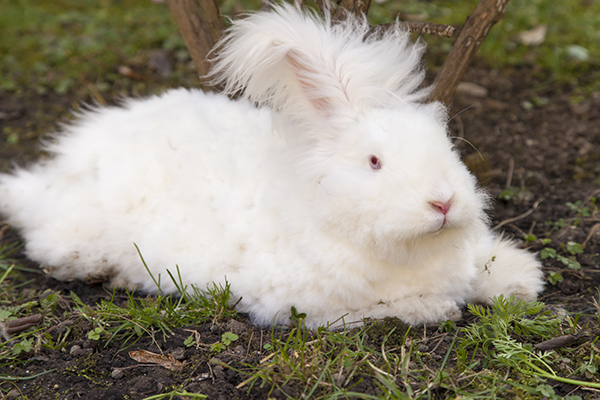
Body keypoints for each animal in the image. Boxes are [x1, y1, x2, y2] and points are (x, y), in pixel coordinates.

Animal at [0, 3, 544, 328]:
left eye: (446, 146)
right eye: (374, 162)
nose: (443, 202)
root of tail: (46, 181)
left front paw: (520, 284)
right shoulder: (313, 303)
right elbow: (387, 307)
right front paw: (435, 307)